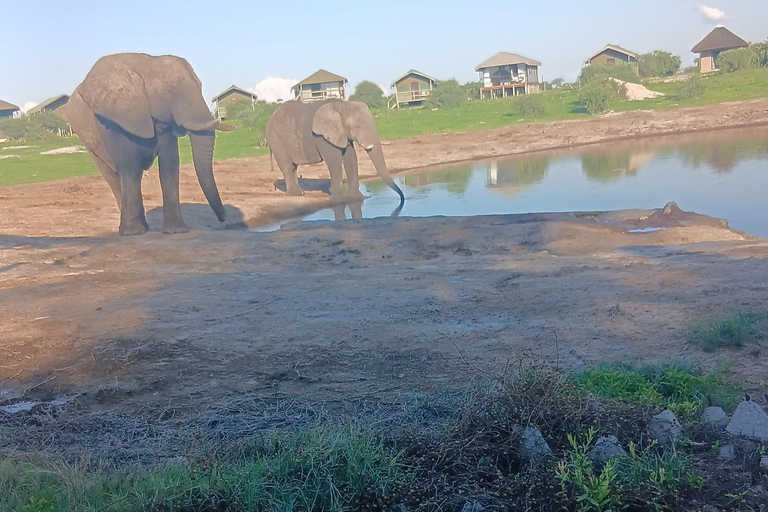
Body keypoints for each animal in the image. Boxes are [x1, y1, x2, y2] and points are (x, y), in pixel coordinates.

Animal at [67, 53, 231, 236]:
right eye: (171, 91)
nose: (223, 218)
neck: (149, 64)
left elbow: (170, 162)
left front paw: (176, 231)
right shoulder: (117, 119)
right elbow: (130, 165)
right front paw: (133, 233)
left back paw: (143, 227)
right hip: (89, 144)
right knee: (113, 176)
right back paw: (133, 230)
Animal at [266, 99, 404, 207]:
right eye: (358, 127)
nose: (403, 199)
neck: (343, 105)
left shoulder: (342, 134)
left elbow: (351, 158)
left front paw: (356, 198)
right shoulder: (322, 136)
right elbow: (334, 160)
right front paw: (339, 201)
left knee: (293, 166)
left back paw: (299, 193)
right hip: (275, 138)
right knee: (286, 165)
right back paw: (297, 193)